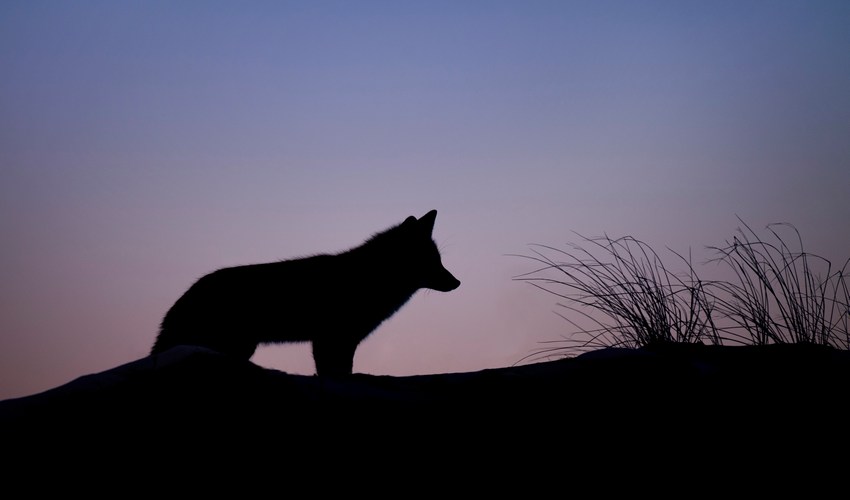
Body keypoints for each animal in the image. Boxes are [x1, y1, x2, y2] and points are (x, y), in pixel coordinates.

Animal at [151, 209, 460, 376]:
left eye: (439, 260)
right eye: (431, 261)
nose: (457, 282)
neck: (368, 278)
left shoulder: (341, 341)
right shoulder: (331, 339)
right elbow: (334, 373)